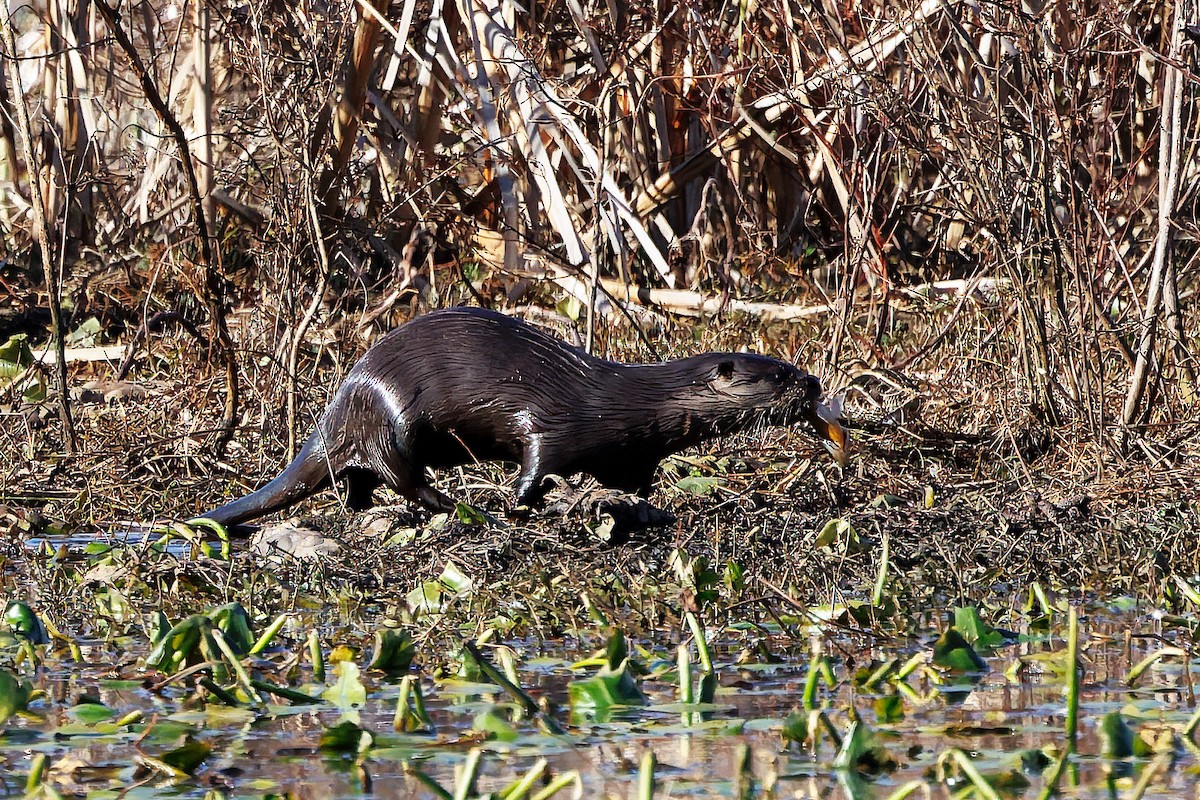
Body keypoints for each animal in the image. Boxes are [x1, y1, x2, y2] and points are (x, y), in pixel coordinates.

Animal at [196, 307, 847, 530]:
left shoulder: (635, 453)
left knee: (357, 481)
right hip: (391, 413)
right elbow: (534, 463)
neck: (629, 401)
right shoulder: (553, 424)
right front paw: (521, 504)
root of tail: (339, 405)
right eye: (781, 374)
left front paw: (643, 504)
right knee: (400, 473)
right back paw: (458, 506)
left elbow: (636, 481)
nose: (815, 384)